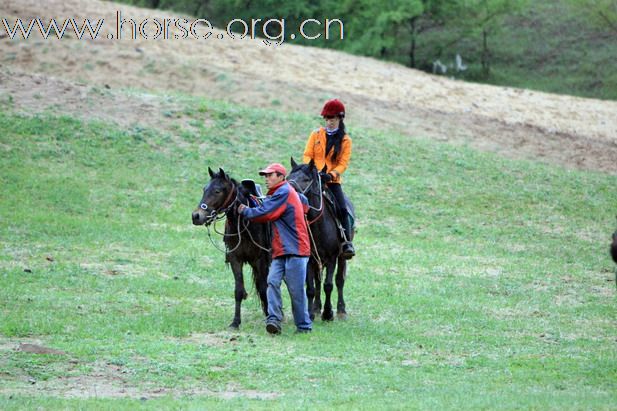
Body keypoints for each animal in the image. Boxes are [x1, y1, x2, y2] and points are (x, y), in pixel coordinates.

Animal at [192, 167, 270, 328]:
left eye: (217, 191)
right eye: (204, 189)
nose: (196, 216)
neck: (244, 224)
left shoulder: (260, 260)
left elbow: (264, 288)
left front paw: (269, 318)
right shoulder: (235, 259)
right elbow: (239, 290)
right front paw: (235, 322)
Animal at [286, 158, 354, 322]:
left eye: (306, 179)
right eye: (288, 177)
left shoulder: (332, 258)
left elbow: (328, 285)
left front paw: (328, 313)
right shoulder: (309, 259)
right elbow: (310, 288)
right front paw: (310, 313)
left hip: (342, 257)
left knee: (339, 281)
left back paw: (341, 310)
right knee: (317, 281)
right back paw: (317, 308)